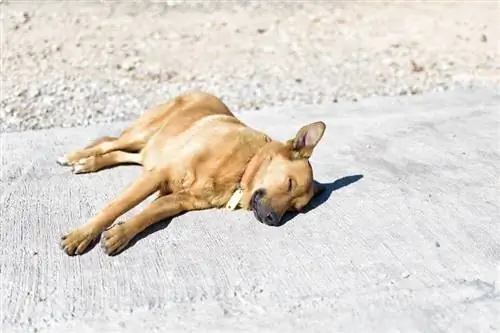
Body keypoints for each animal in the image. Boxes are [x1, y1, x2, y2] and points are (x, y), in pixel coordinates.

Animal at [58, 91, 326, 254]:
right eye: (289, 183)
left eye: (294, 209)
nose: (273, 220)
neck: (243, 168)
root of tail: (203, 92)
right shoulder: (159, 175)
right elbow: (116, 207)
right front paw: (83, 234)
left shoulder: (176, 199)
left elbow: (148, 215)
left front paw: (121, 233)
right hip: (142, 134)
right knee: (108, 143)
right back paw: (74, 157)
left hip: (152, 151)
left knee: (122, 155)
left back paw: (89, 163)